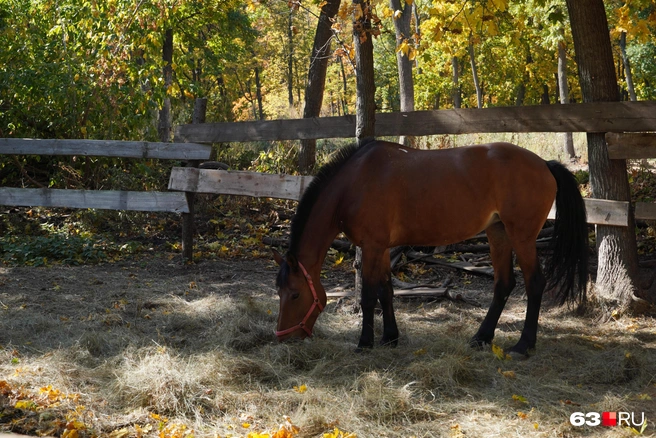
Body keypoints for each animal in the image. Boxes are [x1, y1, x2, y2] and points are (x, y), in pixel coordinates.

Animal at [273, 139, 588, 356]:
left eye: (295, 294)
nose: (283, 336)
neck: (354, 183)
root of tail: (545, 164)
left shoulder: (372, 246)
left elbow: (368, 296)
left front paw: (365, 343)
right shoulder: (382, 248)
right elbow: (386, 291)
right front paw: (390, 337)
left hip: (521, 236)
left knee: (534, 283)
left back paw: (523, 345)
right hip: (498, 232)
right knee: (503, 284)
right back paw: (481, 338)